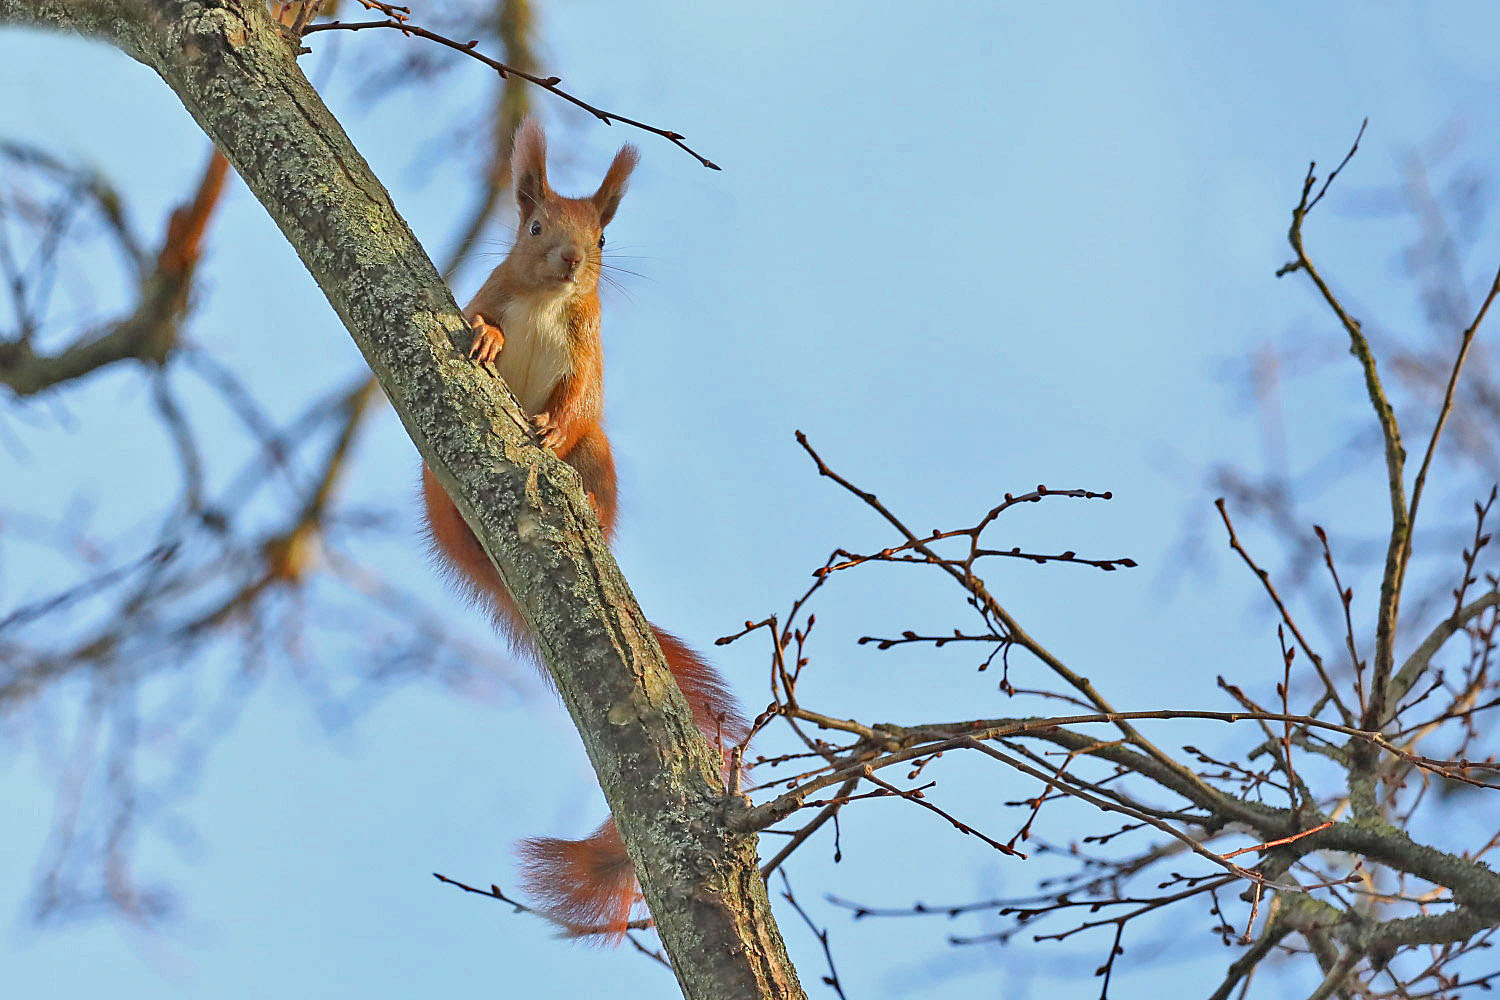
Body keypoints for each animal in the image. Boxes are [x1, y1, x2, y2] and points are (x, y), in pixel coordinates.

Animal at [420, 121, 750, 941]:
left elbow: (579, 401)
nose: (572, 261)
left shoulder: (590, 349)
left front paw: (545, 427)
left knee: (590, 456)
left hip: (599, 456)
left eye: (601, 237)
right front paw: (486, 340)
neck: (545, 300)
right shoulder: (492, 292)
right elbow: (481, 315)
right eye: (536, 227)